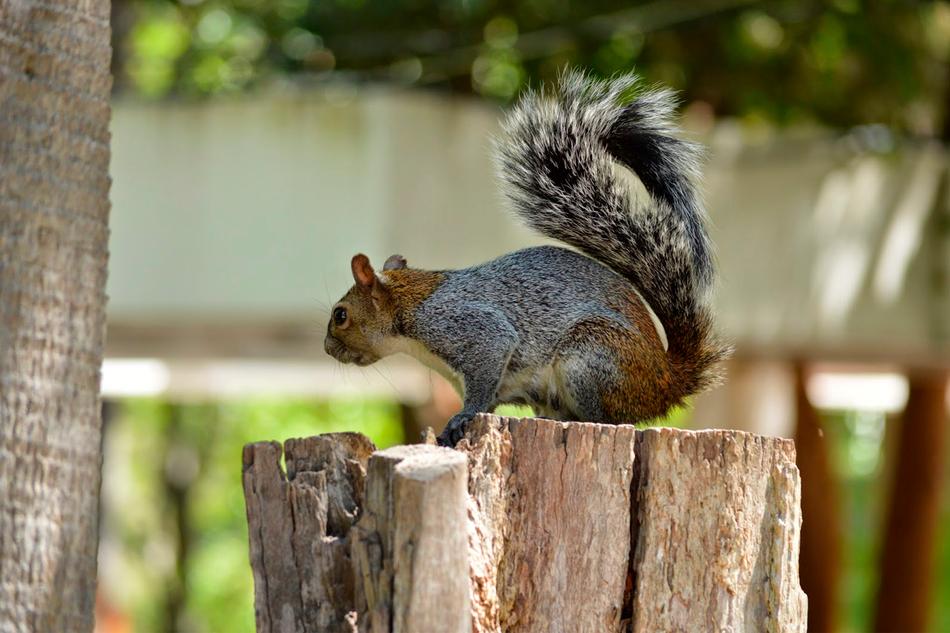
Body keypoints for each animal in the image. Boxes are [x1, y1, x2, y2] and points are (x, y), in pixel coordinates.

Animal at [324, 71, 730, 447]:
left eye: (340, 315)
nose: (328, 350)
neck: (408, 305)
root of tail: (665, 380)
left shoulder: (467, 328)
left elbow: (486, 371)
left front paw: (462, 418)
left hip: (593, 357)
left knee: (610, 419)